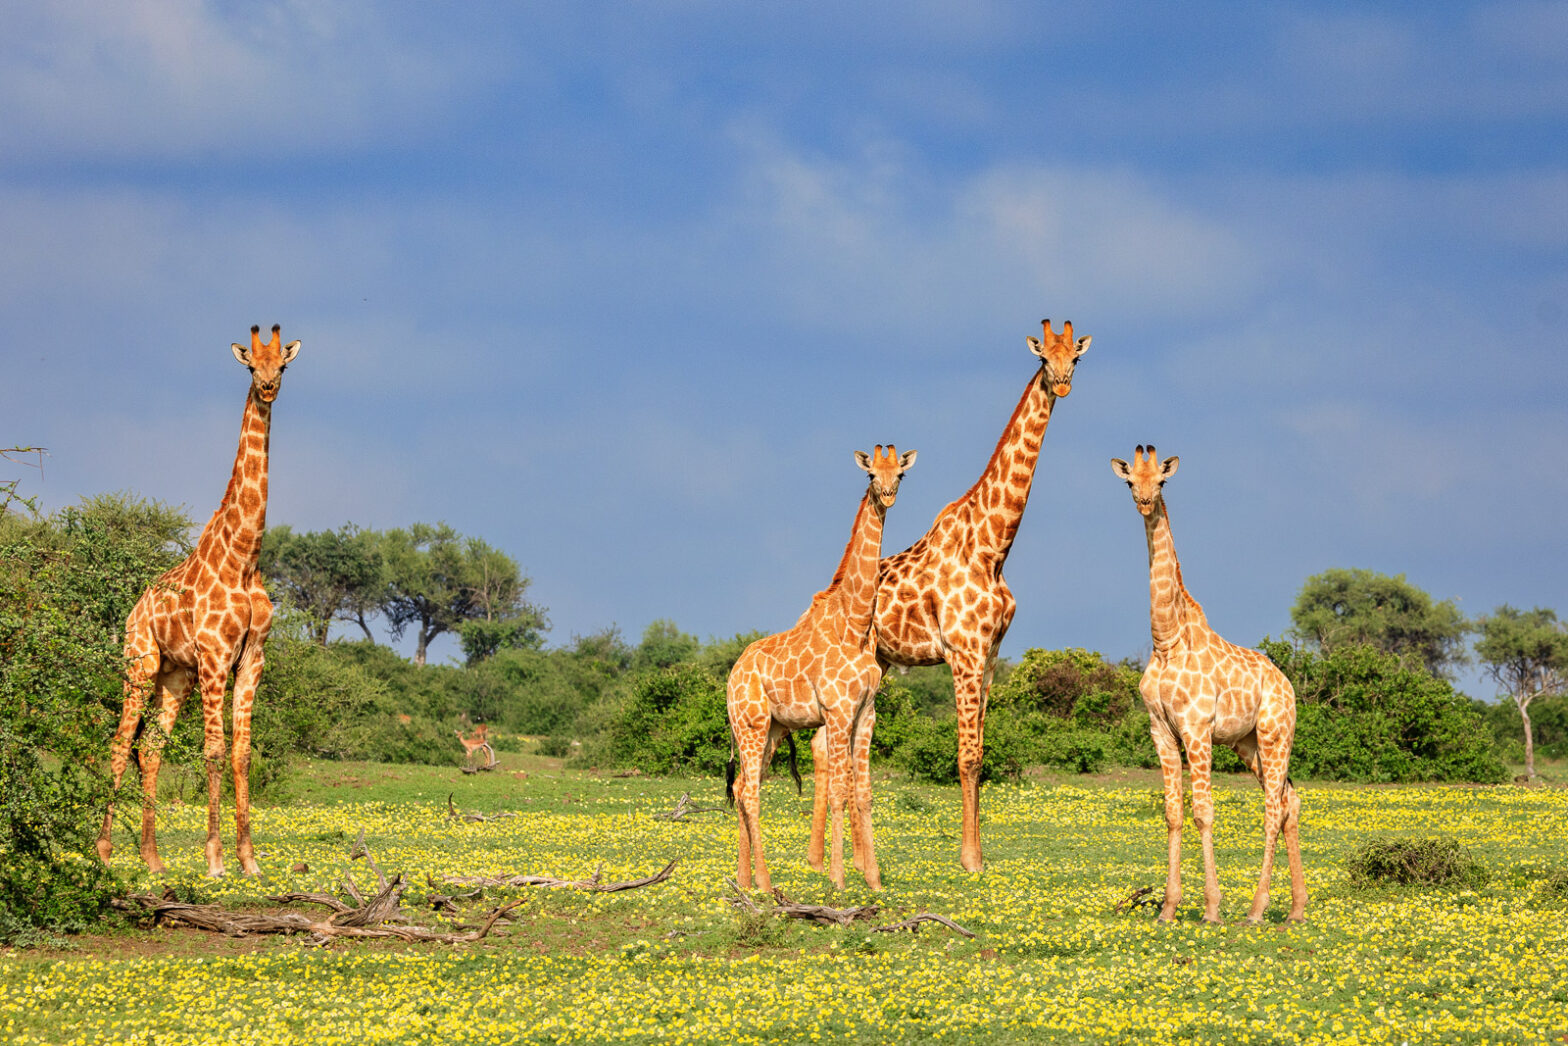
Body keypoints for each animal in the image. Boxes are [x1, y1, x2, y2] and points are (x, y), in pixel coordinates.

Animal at [97, 324, 299, 878]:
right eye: (251, 365)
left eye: (283, 364)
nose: (268, 387)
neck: (245, 556)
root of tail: (134, 609)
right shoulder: (214, 656)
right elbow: (212, 751)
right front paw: (215, 860)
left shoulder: (251, 659)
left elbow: (242, 753)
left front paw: (249, 860)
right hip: (141, 664)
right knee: (122, 743)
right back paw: (103, 851)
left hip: (174, 676)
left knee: (151, 747)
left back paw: (152, 858)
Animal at [724, 445, 915, 897]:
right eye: (870, 475)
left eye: (900, 473)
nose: (887, 495)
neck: (856, 623)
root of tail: (730, 677)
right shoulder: (838, 711)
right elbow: (840, 789)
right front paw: (839, 879)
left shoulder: (866, 713)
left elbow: (864, 791)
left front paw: (874, 881)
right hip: (751, 724)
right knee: (751, 792)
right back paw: (764, 882)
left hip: (772, 729)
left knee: (742, 787)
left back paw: (744, 879)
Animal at [878, 321, 1085, 878]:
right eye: (1043, 358)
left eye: (1075, 358)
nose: (1062, 384)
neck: (993, 547)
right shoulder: (963, 652)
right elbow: (966, 755)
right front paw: (970, 860)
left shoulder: (990, 654)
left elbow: (983, 752)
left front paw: (980, 854)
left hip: (878, 662)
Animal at [1116, 445, 1310, 922]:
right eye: (1130, 481)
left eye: (1162, 481)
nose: (1144, 502)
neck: (1166, 640)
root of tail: (1288, 685)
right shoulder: (1161, 730)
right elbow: (1173, 813)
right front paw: (1168, 908)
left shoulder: (1196, 728)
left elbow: (1203, 811)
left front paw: (1212, 908)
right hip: (1247, 743)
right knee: (1290, 801)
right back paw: (1296, 909)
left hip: (1275, 734)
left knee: (1273, 807)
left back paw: (1257, 910)